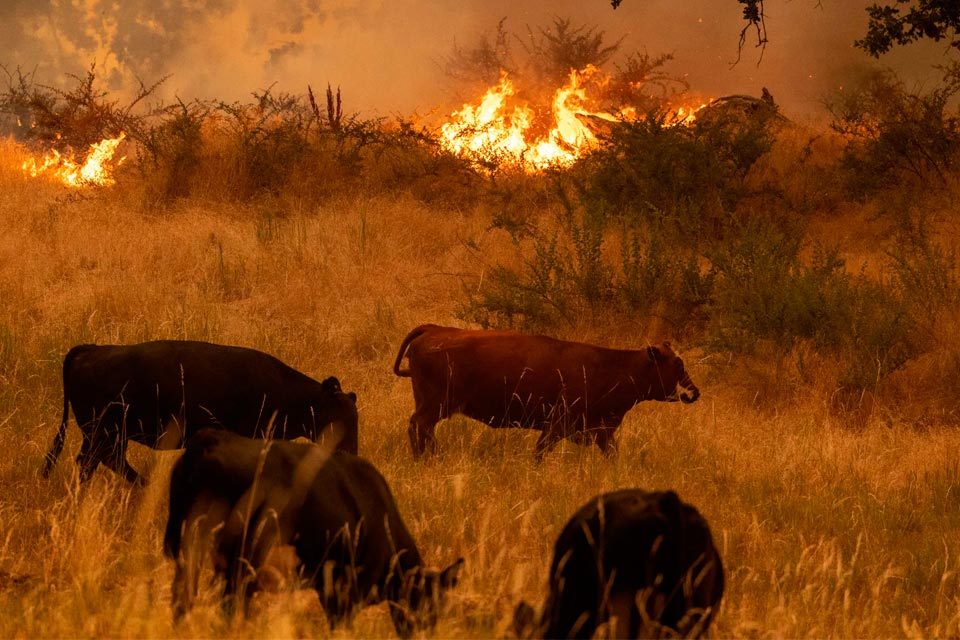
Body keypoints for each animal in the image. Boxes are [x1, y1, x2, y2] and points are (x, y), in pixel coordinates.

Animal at [37, 340, 360, 484]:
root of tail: (92, 349)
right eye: (341, 419)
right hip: (106, 433)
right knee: (100, 462)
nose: (350, 454)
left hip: (104, 435)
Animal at [165, 428, 464, 636]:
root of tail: (209, 439)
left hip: (191, 547)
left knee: (184, 596)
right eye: (427, 605)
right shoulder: (346, 592)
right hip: (240, 557)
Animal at [394, 324, 700, 460]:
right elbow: (540, 453)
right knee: (419, 427)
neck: (609, 368)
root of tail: (434, 329)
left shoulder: (602, 432)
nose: (693, 392)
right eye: (678, 364)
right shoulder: (555, 426)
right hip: (435, 406)